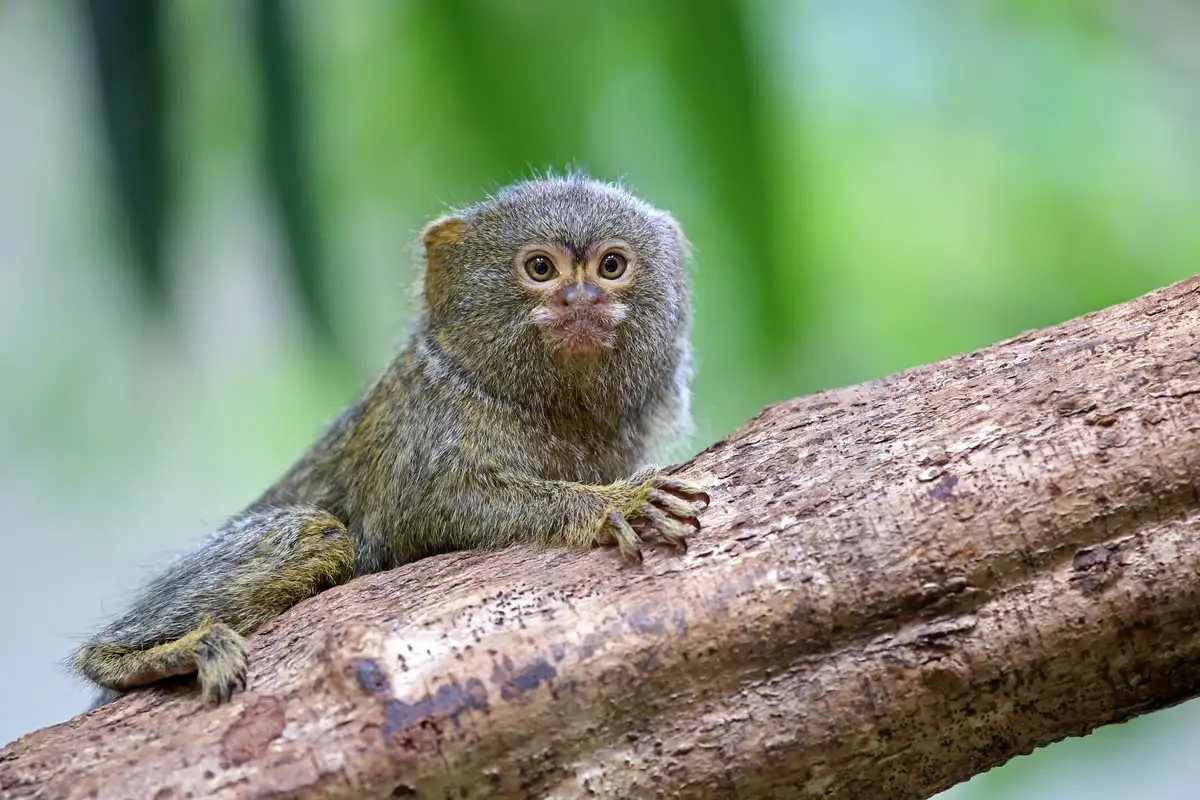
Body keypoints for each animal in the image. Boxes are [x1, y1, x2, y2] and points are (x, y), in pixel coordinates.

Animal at [72, 174, 709, 707]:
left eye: (611, 265)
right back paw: (144, 656)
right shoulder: (428, 426)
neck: (530, 400)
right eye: (540, 269)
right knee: (318, 533)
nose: (582, 300)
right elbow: (424, 508)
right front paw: (614, 503)